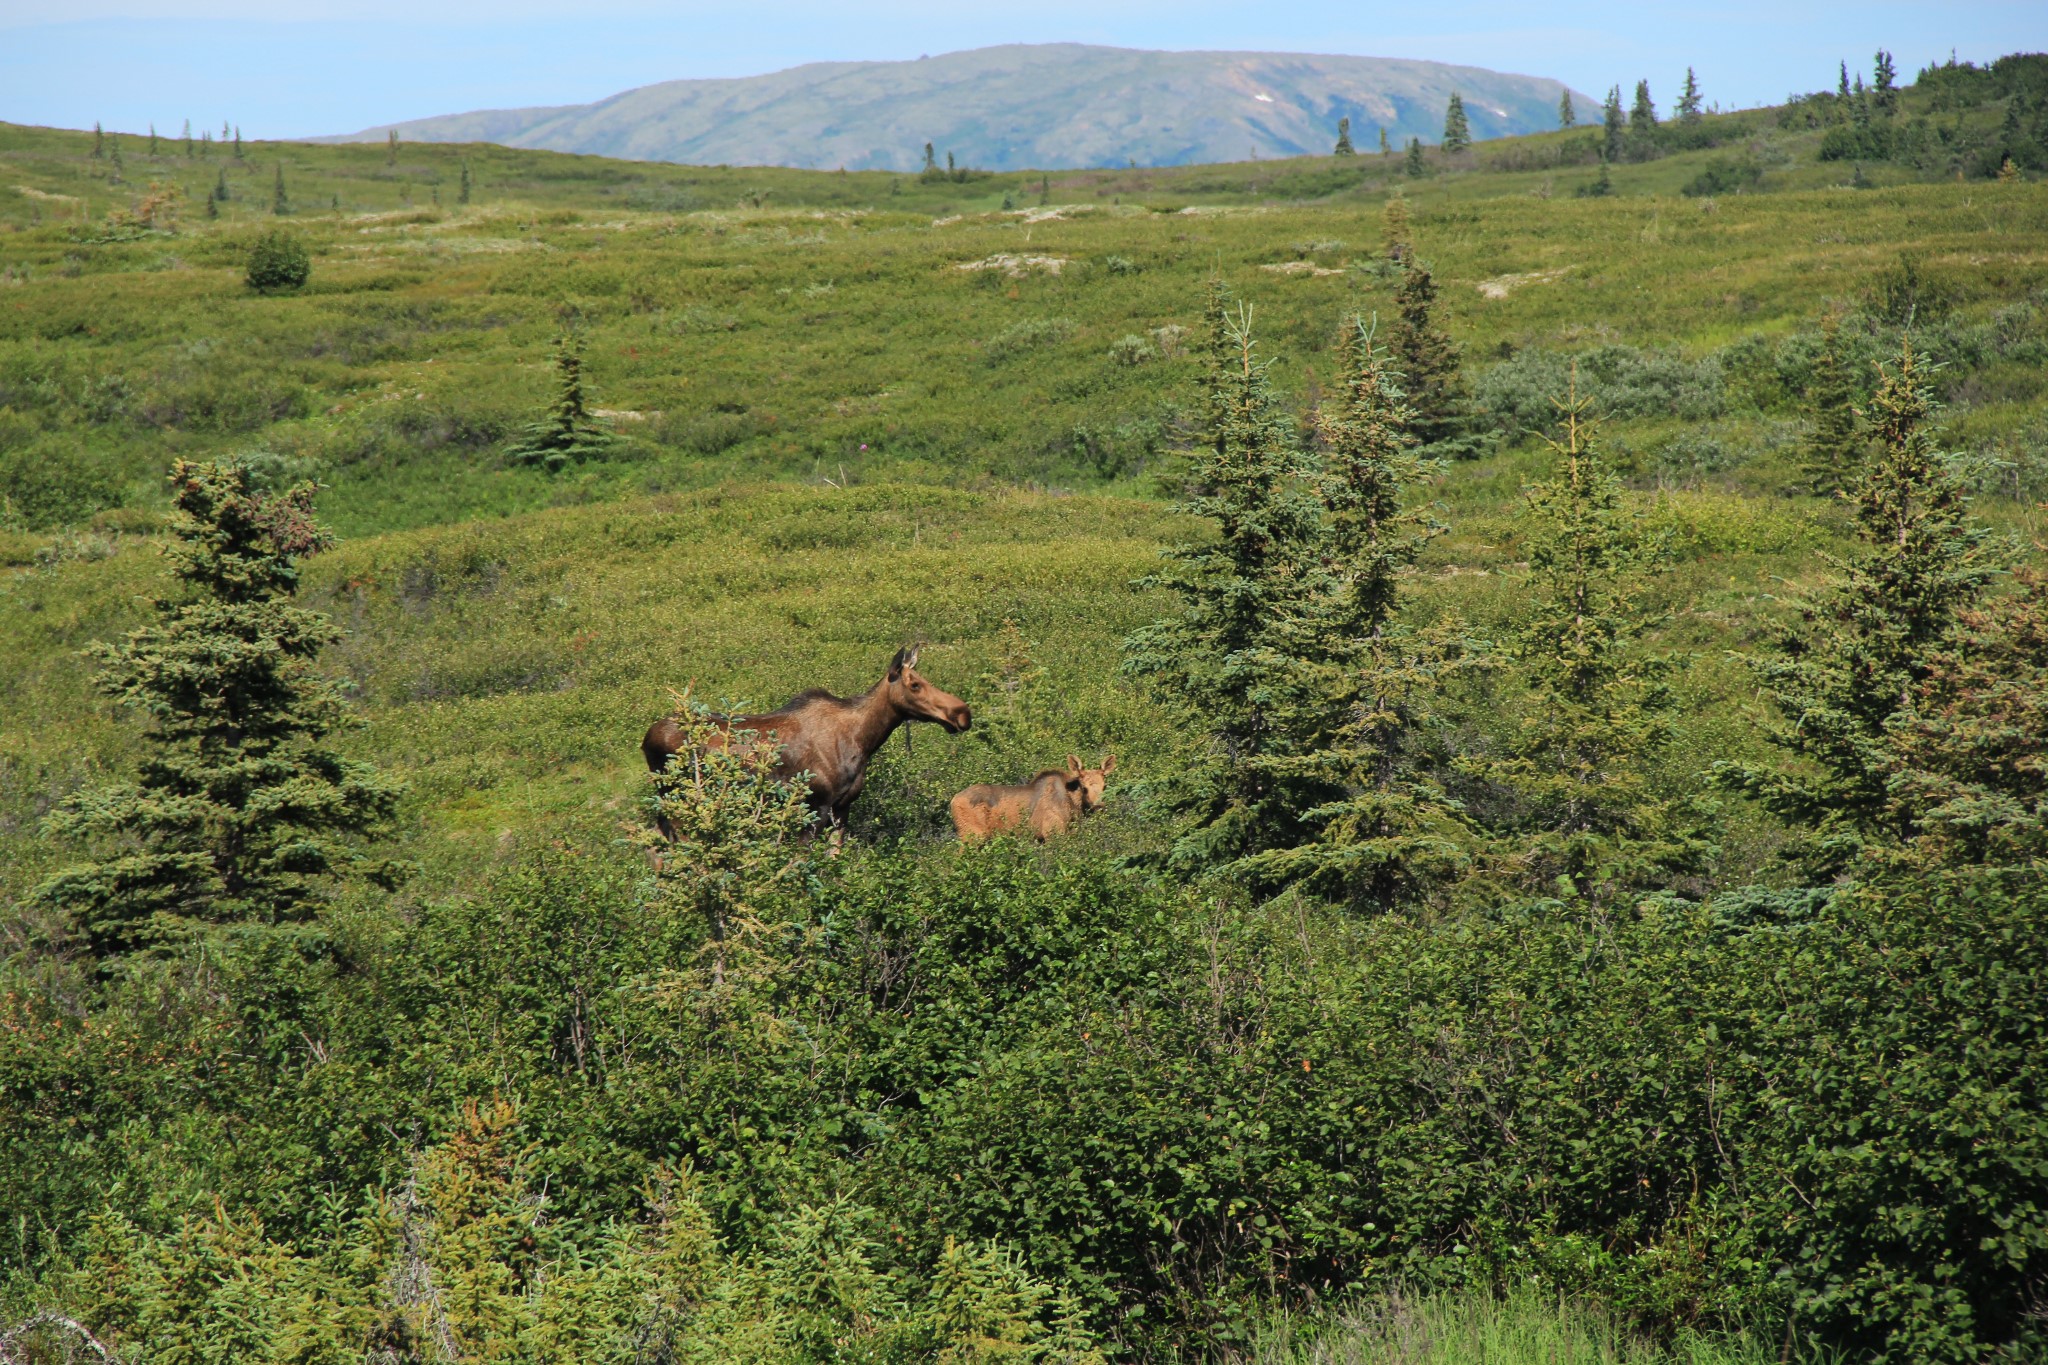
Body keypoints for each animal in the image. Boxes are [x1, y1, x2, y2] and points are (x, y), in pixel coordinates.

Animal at [643, 646, 970, 839]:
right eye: (914, 684)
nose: (962, 713)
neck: (863, 741)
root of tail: (646, 740)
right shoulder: (814, 806)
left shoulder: (843, 808)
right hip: (678, 799)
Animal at [946, 757, 1114, 843]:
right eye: (1084, 788)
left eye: (1105, 786)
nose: (1099, 806)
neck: (1074, 807)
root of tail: (953, 801)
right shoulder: (1051, 833)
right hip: (972, 835)